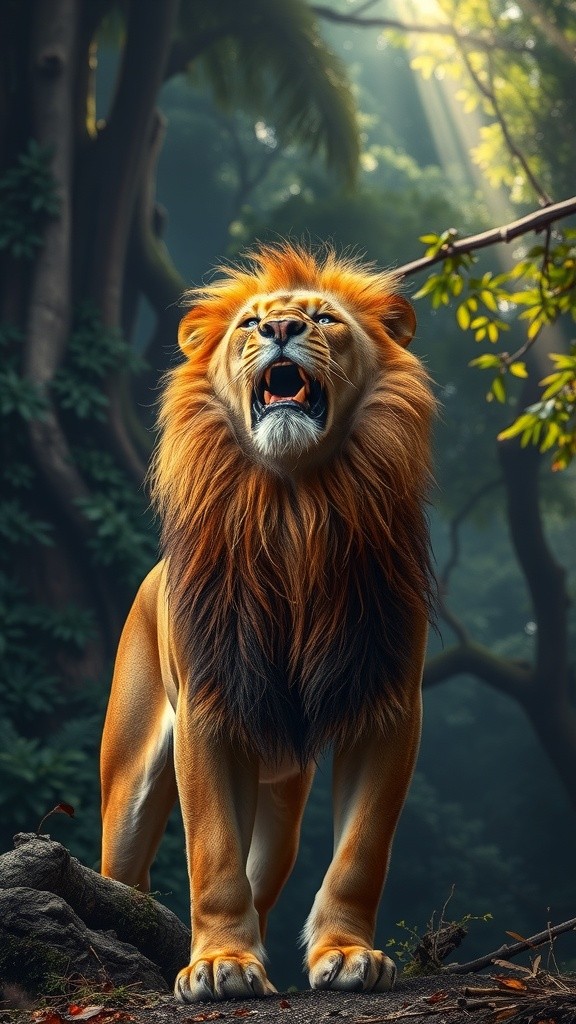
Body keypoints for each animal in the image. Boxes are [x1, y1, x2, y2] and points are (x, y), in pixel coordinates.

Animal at [100, 242, 435, 1002]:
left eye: (323, 318)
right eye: (251, 324)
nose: (282, 327)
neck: (295, 507)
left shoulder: (389, 705)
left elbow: (361, 852)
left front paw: (347, 954)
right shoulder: (210, 707)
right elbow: (213, 854)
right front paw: (219, 964)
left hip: (282, 799)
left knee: (266, 869)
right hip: (129, 776)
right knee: (120, 874)